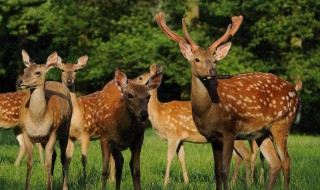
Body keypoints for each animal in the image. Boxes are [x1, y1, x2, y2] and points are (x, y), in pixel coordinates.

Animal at [16, 49, 72, 189]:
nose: (19, 81)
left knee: (64, 157)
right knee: (55, 156)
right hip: (43, 139)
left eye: (38, 72)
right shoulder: (26, 132)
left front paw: (48, 187)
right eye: (25, 70)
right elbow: (29, 163)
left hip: (65, 131)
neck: (38, 121)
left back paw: (64, 186)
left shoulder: (53, 132)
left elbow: (47, 163)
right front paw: (27, 187)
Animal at [155, 12, 300, 190]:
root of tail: (295, 92)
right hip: (262, 132)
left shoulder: (230, 131)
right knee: (275, 163)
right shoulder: (213, 138)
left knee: (286, 160)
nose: (212, 71)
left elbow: (225, 170)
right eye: (197, 59)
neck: (209, 110)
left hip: (282, 123)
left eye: (215, 59)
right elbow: (217, 171)